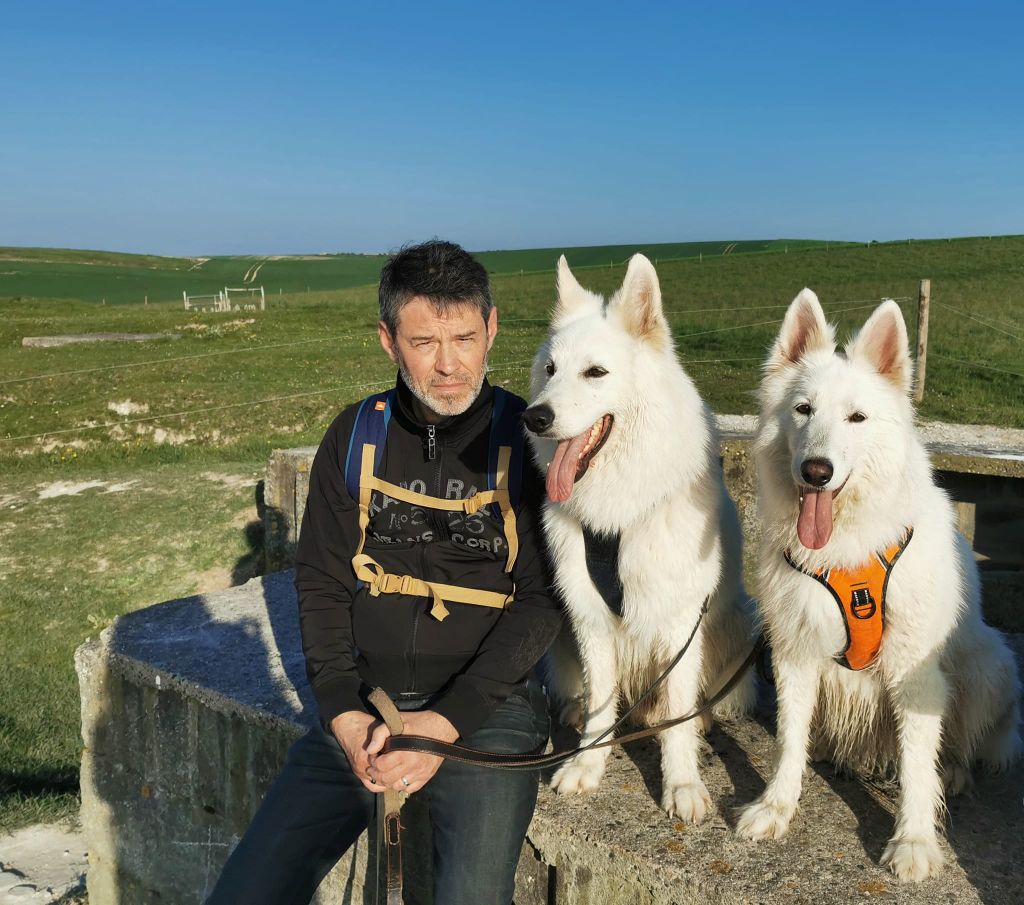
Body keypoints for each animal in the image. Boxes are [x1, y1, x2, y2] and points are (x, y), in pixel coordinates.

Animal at [522, 254, 757, 822]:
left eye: (596, 372)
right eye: (550, 370)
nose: (534, 417)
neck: (618, 513)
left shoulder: (679, 620)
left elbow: (675, 715)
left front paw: (682, 784)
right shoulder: (588, 616)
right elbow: (602, 708)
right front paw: (587, 765)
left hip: (737, 625)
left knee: (687, 706)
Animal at [736, 290, 1022, 880]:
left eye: (857, 417)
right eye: (803, 409)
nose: (816, 471)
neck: (847, 546)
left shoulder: (915, 667)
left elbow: (916, 765)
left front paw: (914, 840)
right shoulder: (794, 650)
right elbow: (788, 739)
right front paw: (777, 806)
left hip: (989, 666)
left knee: (960, 744)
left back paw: (953, 773)